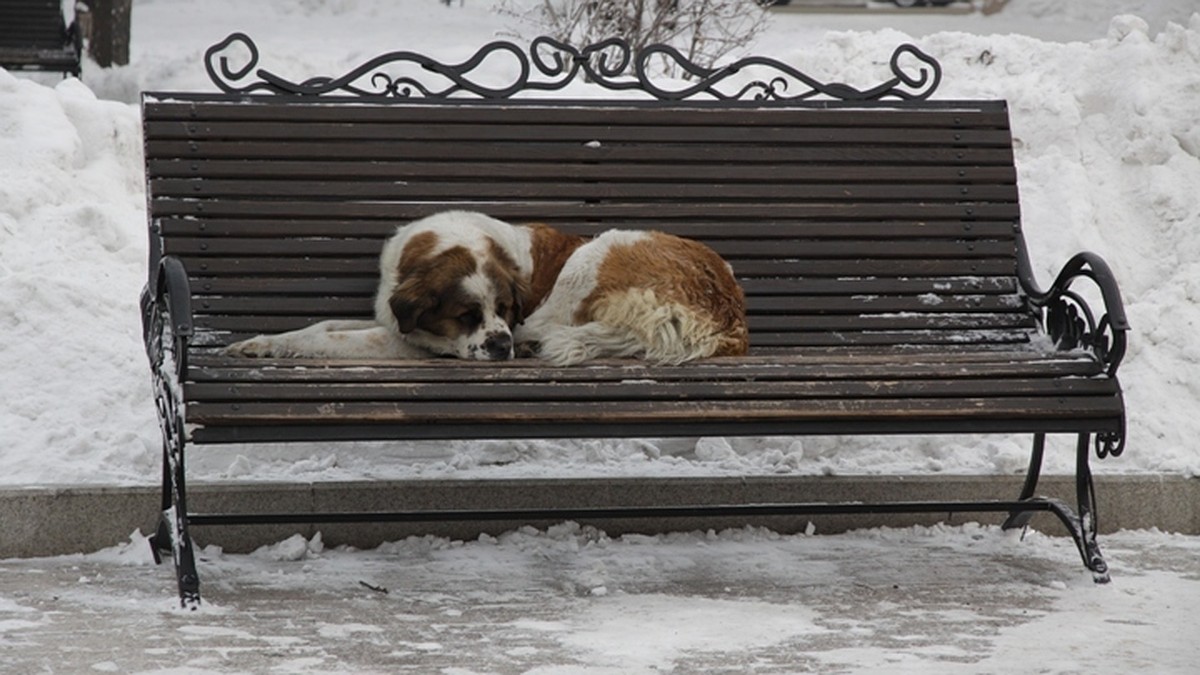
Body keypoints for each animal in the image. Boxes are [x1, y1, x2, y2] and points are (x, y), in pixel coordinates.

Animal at [224, 208, 744, 362]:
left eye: (505, 310)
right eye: (466, 315)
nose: (501, 344)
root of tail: (728, 314)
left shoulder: (408, 341)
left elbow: (327, 338)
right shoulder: (390, 318)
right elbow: (321, 326)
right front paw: (260, 342)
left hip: (596, 251)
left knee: (549, 324)